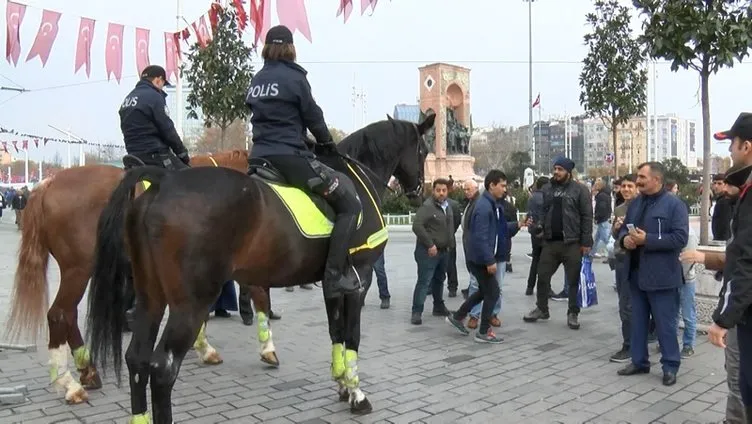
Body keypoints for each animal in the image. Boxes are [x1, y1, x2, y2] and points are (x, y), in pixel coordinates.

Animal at [2, 150, 247, 404]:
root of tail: (49, 183)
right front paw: (205, 348)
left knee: (69, 315)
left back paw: (88, 370)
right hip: (78, 269)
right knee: (59, 314)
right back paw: (69, 384)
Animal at [86, 114, 434, 422]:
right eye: (424, 150)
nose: (419, 191)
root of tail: (162, 182)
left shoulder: (332, 283)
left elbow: (335, 331)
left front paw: (341, 384)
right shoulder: (360, 279)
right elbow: (352, 336)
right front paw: (356, 393)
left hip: (151, 297)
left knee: (137, 359)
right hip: (190, 303)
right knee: (163, 368)